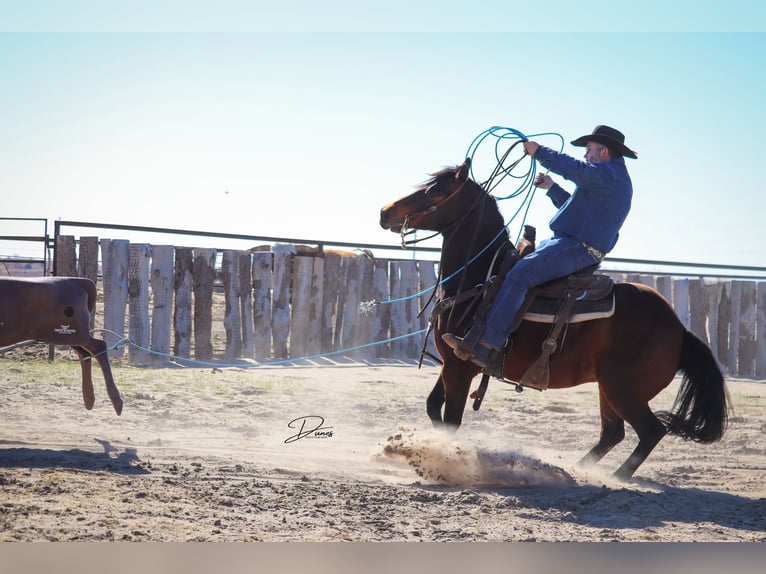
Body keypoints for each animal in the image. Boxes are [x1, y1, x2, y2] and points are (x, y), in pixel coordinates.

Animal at [0, 277, 123, 415]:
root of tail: (77, 281)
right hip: (70, 338)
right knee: (85, 353)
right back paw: (89, 399)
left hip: (73, 332)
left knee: (99, 346)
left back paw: (116, 402)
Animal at [379, 158, 728, 481]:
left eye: (436, 190)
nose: (385, 212)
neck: (481, 279)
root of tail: (680, 329)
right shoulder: (451, 362)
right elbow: (432, 407)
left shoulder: (462, 365)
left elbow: (450, 421)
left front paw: (444, 461)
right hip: (609, 388)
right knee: (613, 432)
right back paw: (577, 469)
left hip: (623, 390)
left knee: (651, 431)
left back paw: (615, 478)